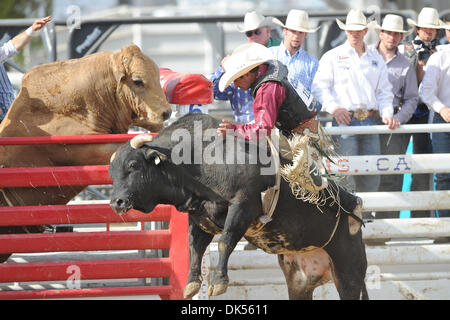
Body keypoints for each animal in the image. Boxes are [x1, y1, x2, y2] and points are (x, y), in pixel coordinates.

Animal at [109, 114, 370, 300]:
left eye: (133, 165)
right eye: (111, 172)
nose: (116, 202)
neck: (199, 159)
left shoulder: (243, 206)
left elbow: (226, 241)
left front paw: (218, 283)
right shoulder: (200, 216)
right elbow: (195, 247)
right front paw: (192, 284)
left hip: (349, 272)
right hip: (300, 281)